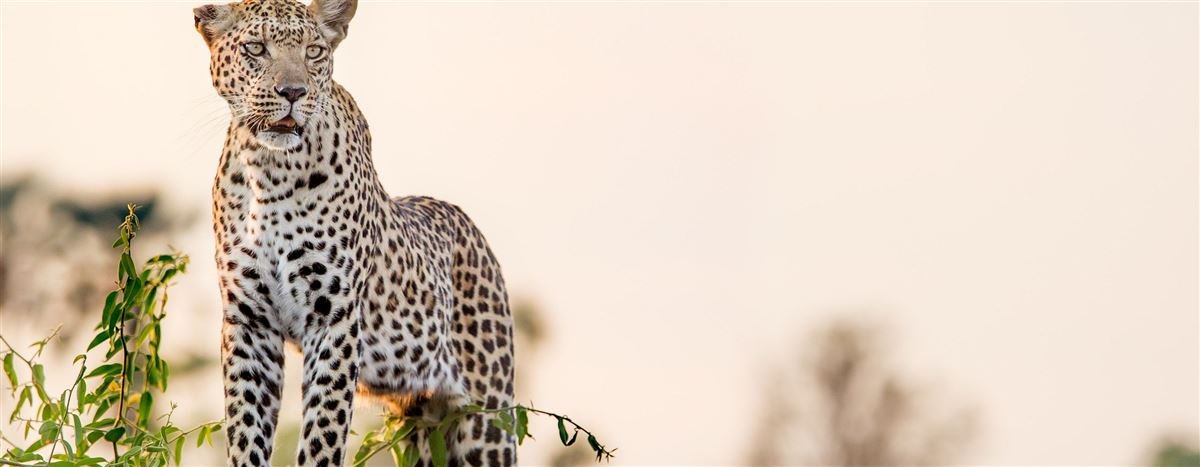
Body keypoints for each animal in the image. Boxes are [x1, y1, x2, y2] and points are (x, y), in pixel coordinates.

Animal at [192, 0, 517, 465]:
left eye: (313, 51)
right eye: (256, 48)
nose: (293, 92)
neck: (269, 172)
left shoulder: (334, 318)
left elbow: (322, 436)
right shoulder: (249, 321)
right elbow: (246, 428)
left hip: (485, 418)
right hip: (418, 425)